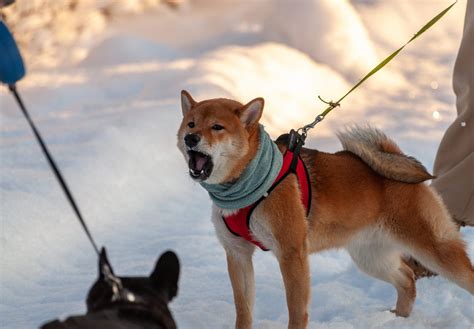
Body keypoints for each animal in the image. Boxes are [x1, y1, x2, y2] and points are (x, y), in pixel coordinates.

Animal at [176, 90, 472, 328]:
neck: (247, 184)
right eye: (191, 123)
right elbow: (244, 310)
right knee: (408, 278)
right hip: (371, 256)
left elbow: (296, 311)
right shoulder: (237, 254)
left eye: (217, 127)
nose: (190, 138)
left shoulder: (291, 253)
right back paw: (398, 318)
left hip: (434, 249)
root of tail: (399, 162)